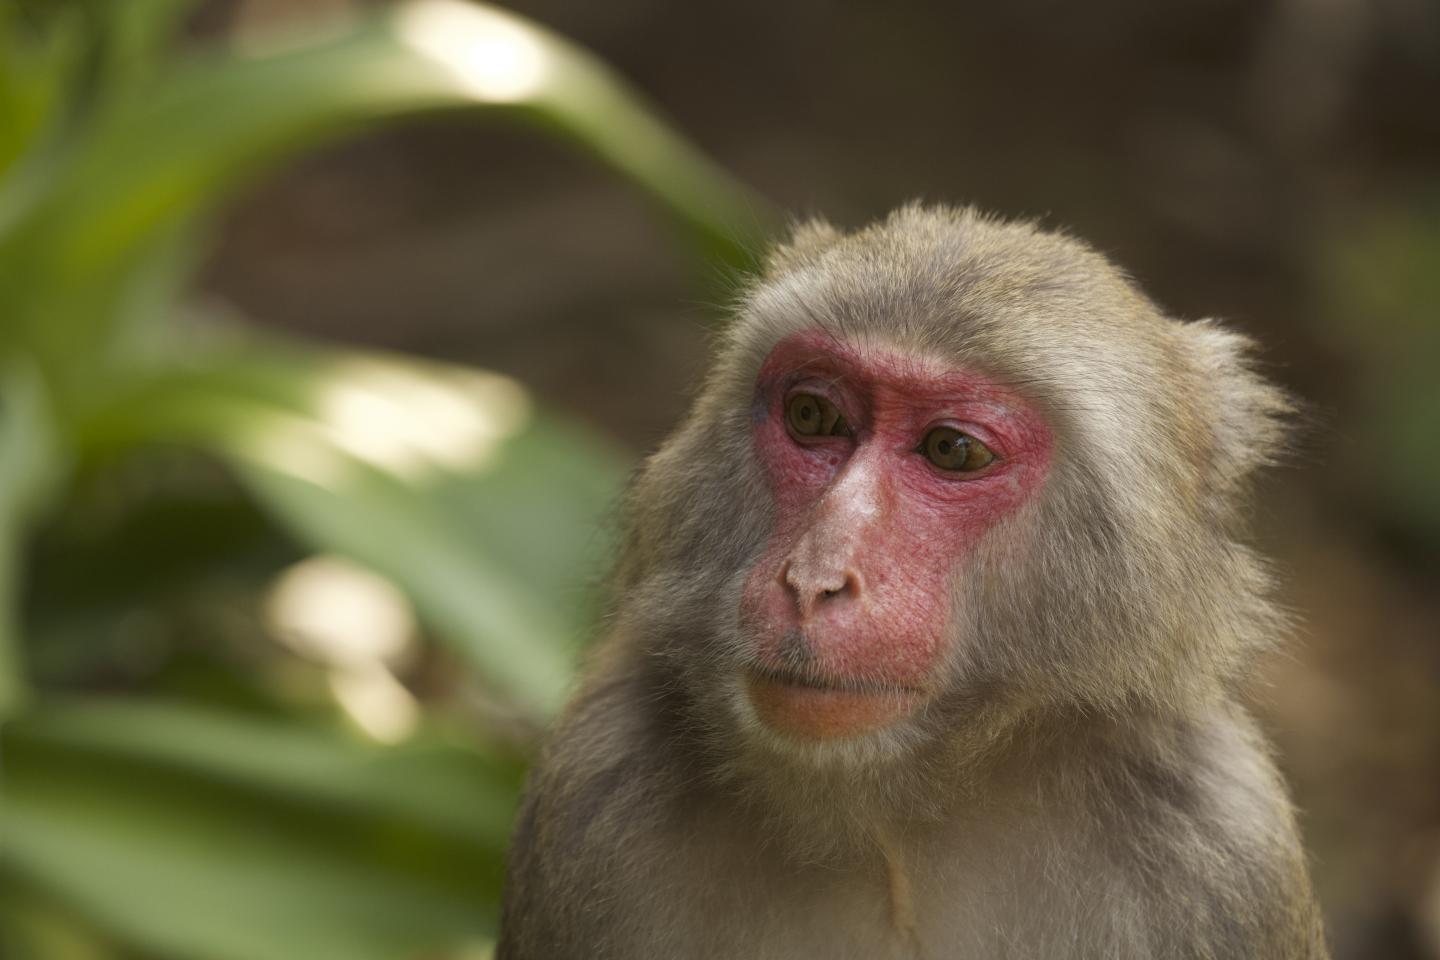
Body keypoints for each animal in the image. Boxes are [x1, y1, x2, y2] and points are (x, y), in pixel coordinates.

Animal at [495, 204, 1324, 960]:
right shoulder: (595, 784)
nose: (814, 579)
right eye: (813, 415)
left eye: (953, 450)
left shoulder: (1222, 845)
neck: (897, 819)